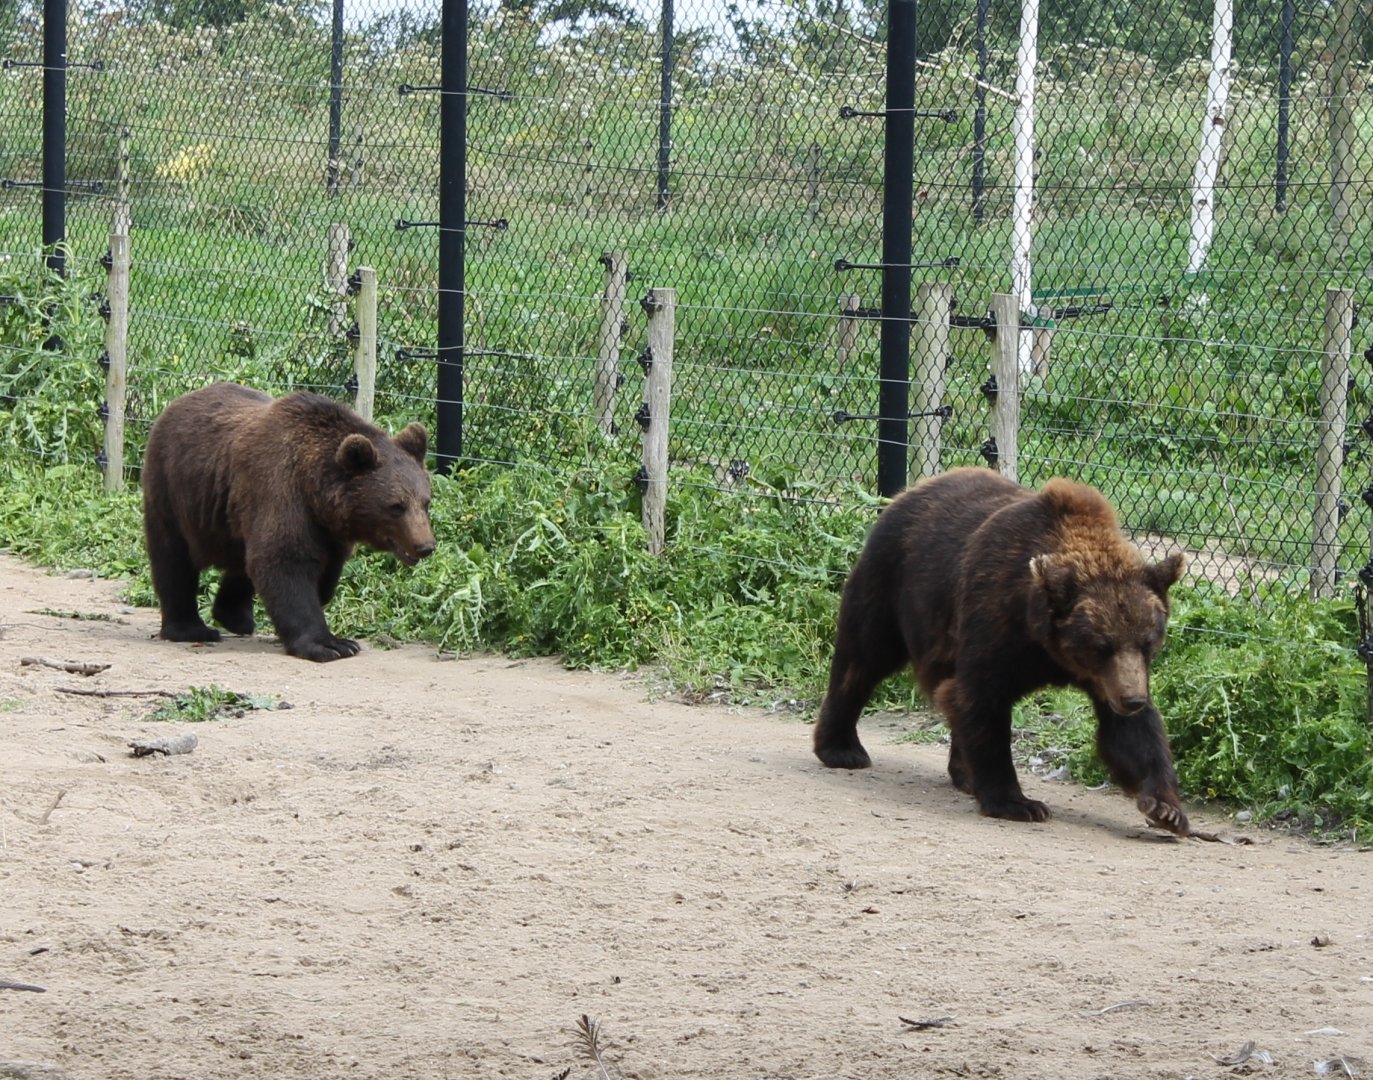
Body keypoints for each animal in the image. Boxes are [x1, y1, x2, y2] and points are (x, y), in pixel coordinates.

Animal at [142, 382, 435, 662]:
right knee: (173, 559)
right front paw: (332, 645)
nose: (425, 546)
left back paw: (235, 615)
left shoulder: (328, 529)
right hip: (173, 490)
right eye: (396, 506)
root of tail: (176, 404)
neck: (314, 489)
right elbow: (285, 563)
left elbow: (322, 573)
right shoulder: (280, 490)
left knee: (239, 554)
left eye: (425, 502)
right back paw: (190, 628)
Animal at [812, 466, 1189, 834]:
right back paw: (842, 748)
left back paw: (964, 773)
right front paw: (1018, 803)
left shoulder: (1108, 676)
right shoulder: (997, 622)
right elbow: (982, 700)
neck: (1047, 646)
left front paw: (1166, 808)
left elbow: (1132, 734)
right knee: (862, 658)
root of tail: (906, 492)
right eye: (1101, 645)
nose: (1132, 699)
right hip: (893, 583)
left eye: (1149, 641)